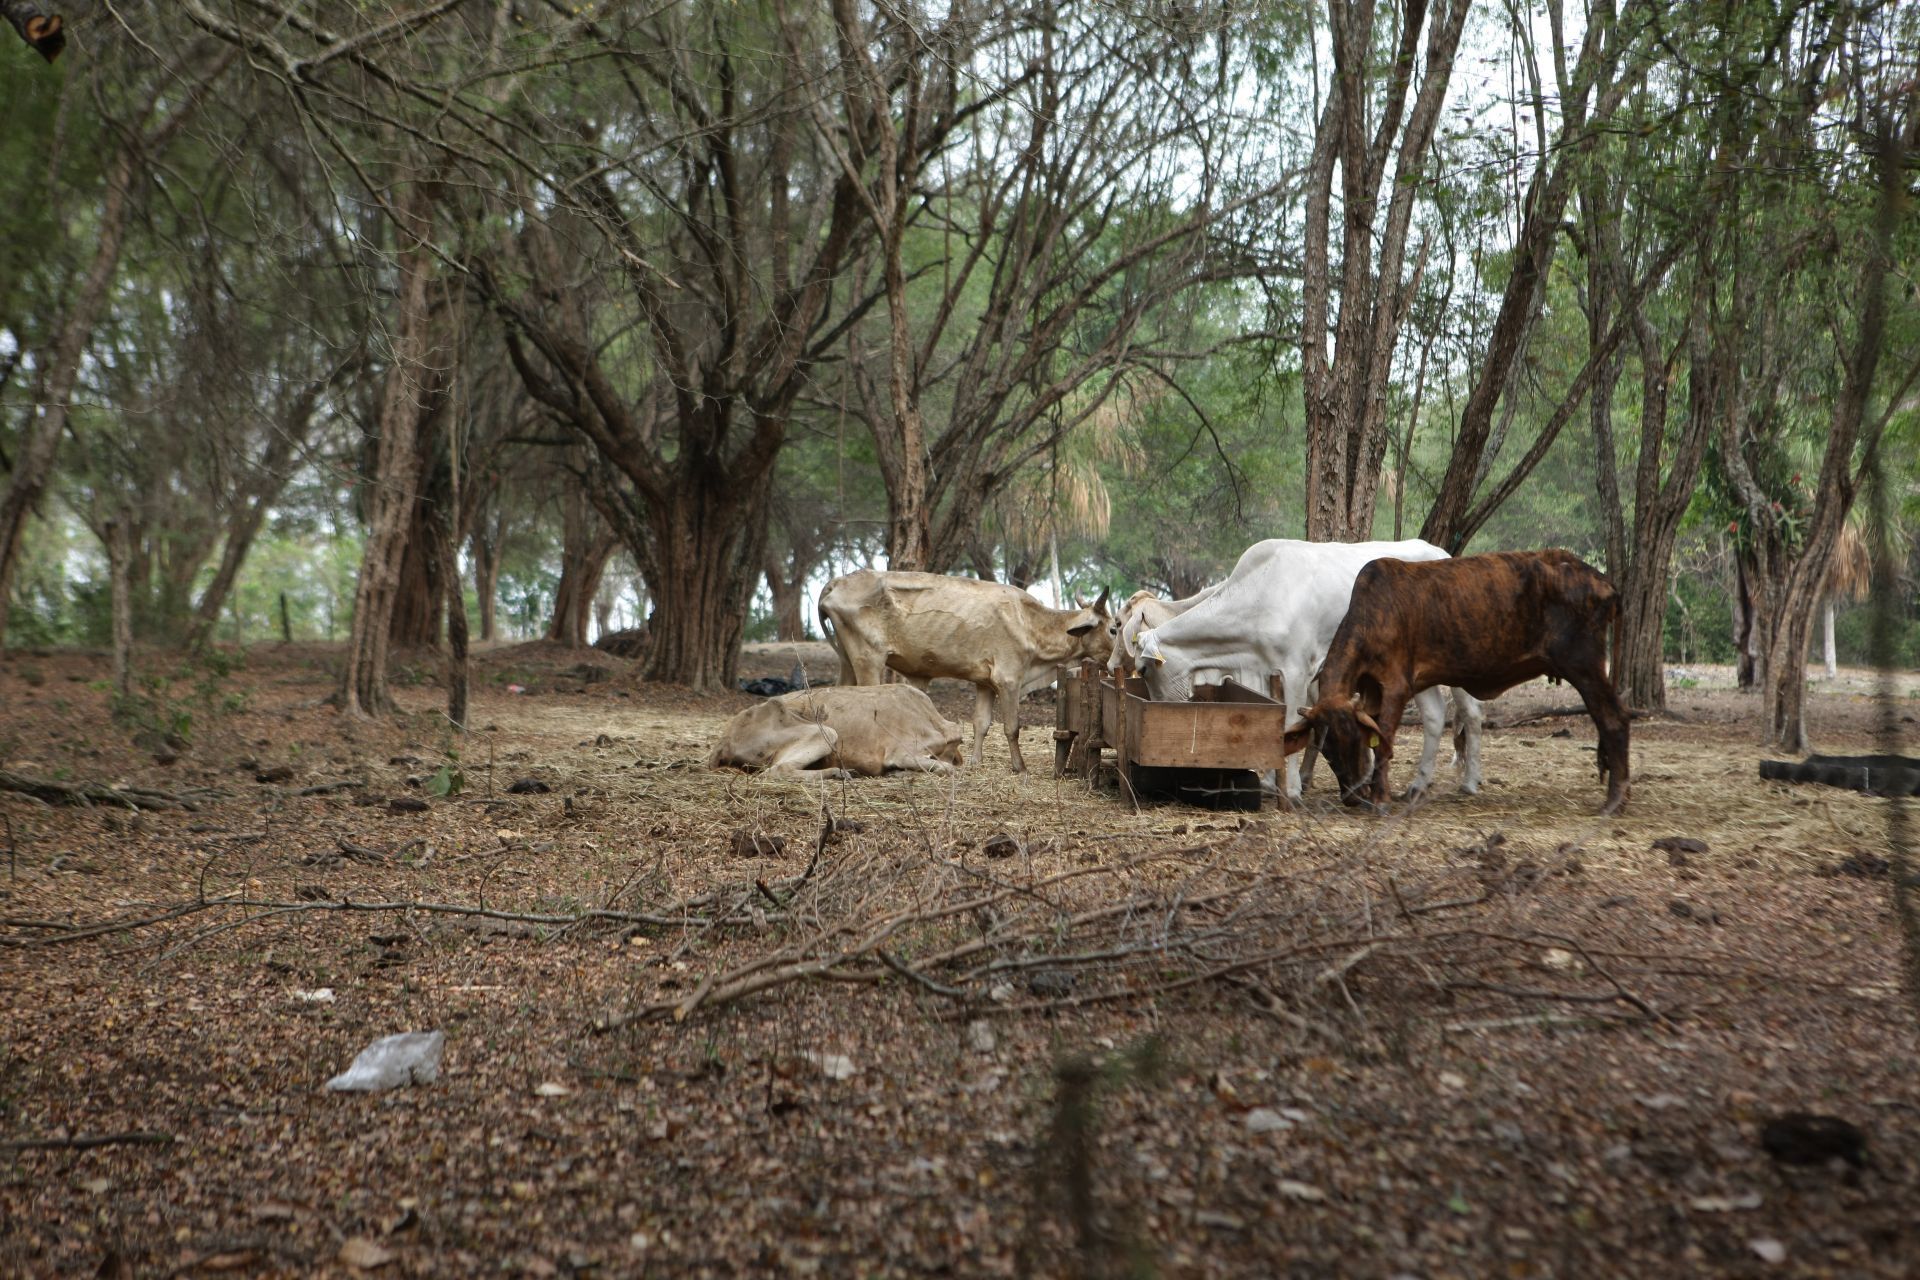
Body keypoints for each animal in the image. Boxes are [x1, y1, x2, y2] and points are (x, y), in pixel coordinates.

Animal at [706, 690, 967, 782]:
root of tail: (724, 739)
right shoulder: (902, 751)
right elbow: (947, 768)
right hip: (827, 733)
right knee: (777, 770)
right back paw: (837, 773)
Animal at [821, 571, 1121, 771]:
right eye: (1113, 628)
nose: (1118, 661)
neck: (1029, 622)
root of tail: (836, 583)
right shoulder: (1009, 680)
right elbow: (1012, 727)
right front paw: (1019, 766)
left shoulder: (985, 683)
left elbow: (982, 723)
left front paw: (976, 761)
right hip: (868, 659)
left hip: (847, 660)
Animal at [1136, 537, 1482, 802]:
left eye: (1143, 669)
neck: (1260, 593)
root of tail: (1441, 553)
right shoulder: (1263, 669)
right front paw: (1269, 782)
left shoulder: (1297, 669)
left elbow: (1290, 721)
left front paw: (1291, 790)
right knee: (1435, 716)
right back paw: (1417, 786)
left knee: (1471, 714)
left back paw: (1470, 782)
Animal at [1282, 548, 1628, 809]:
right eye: (1327, 749)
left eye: (1354, 739)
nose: (1352, 797)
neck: (1373, 614)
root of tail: (1605, 582)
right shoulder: (1372, 693)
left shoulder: (1396, 686)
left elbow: (1385, 743)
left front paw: (1380, 798)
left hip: (1585, 666)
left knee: (1614, 720)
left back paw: (1614, 800)